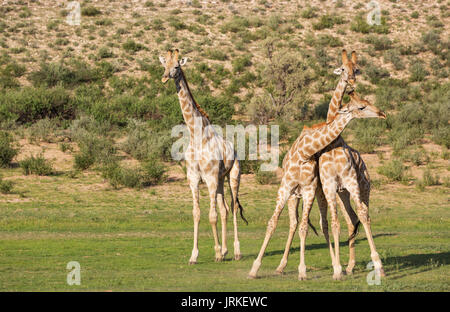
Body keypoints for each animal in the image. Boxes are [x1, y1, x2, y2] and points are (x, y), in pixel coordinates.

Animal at [160, 50, 248, 264]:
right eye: (164, 65)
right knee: (224, 209)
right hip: (220, 180)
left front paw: (216, 253)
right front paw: (194, 255)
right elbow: (197, 214)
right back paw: (225, 250)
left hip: (233, 176)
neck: (196, 135)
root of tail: (234, 149)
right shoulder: (193, 179)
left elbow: (211, 216)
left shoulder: (209, 178)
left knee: (232, 207)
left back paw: (236, 252)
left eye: (177, 66)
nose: (164, 77)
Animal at [248, 91, 384, 280]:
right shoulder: (285, 188)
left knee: (348, 219)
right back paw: (283, 267)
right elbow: (273, 223)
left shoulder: (311, 189)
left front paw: (303, 271)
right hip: (312, 195)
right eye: (362, 106)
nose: (382, 113)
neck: (304, 153)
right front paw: (254, 269)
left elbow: (306, 227)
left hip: (358, 189)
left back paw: (344, 266)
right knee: (299, 222)